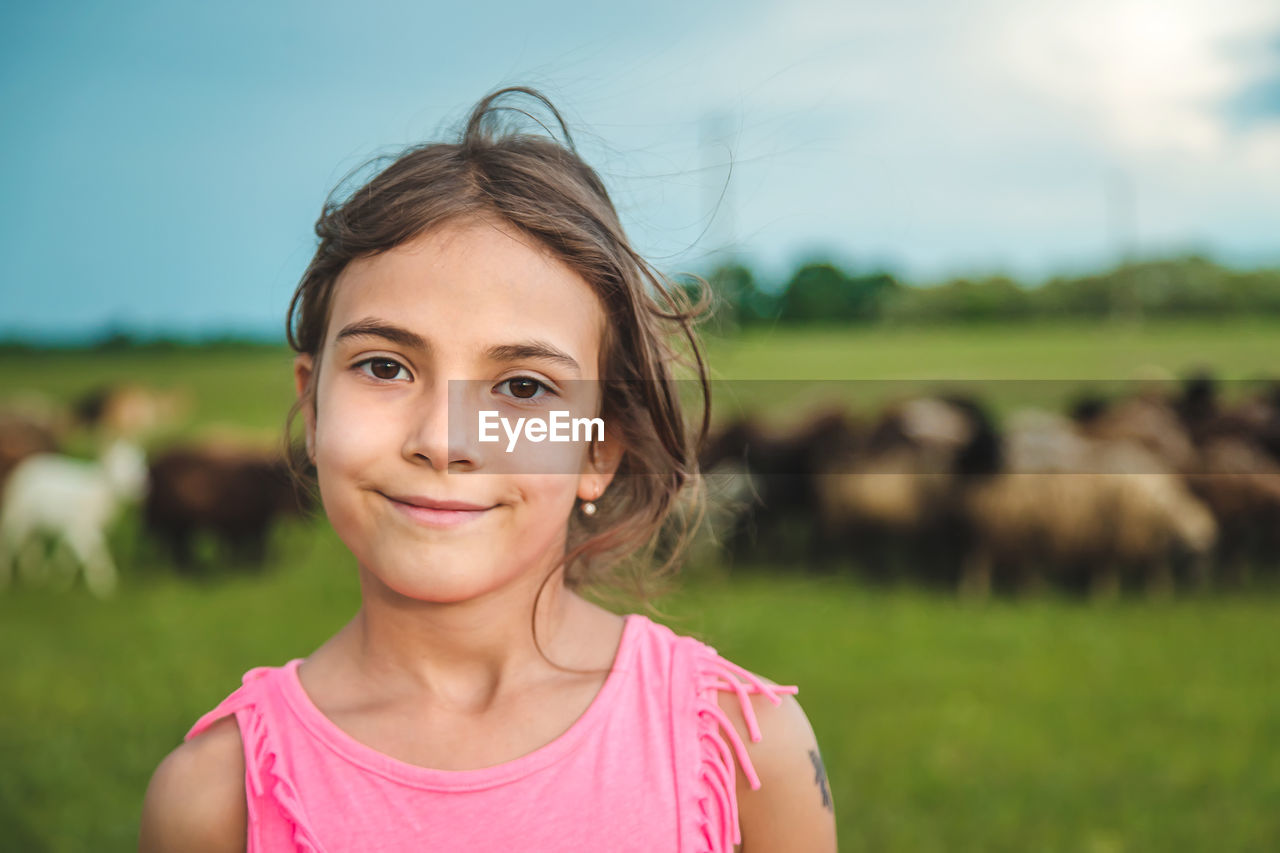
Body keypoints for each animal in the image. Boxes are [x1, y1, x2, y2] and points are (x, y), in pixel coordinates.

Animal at [0, 440, 147, 594]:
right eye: (116, 464)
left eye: (139, 463)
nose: (140, 484)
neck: (99, 495)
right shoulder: (81, 528)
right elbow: (92, 552)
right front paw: (102, 585)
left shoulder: (74, 528)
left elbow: (69, 551)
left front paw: (60, 579)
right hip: (18, 514)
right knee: (8, 540)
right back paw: (7, 577)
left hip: (32, 521)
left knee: (30, 543)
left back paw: (34, 574)